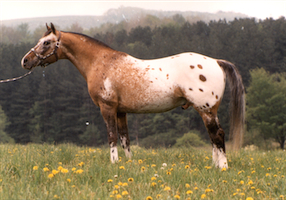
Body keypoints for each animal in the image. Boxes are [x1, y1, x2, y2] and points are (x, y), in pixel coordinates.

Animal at [21, 23, 245, 169]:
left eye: (47, 42)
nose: (25, 61)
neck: (102, 63)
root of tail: (216, 61)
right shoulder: (122, 112)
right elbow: (125, 139)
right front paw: (128, 164)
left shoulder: (108, 108)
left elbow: (112, 137)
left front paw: (114, 163)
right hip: (206, 110)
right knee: (213, 137)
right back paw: (215, 166)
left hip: (206, 109)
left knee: (218, 135)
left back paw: (222, 167)